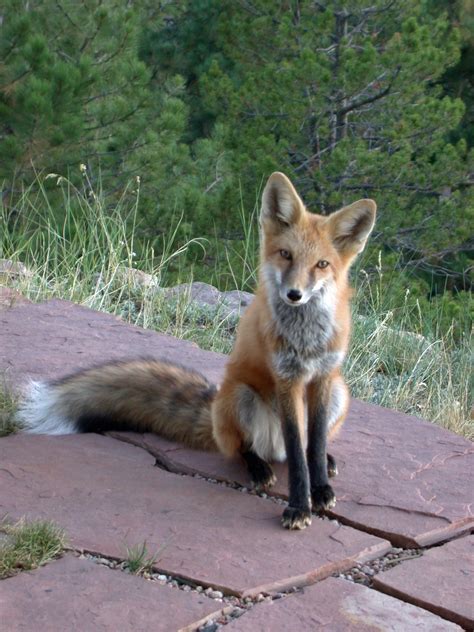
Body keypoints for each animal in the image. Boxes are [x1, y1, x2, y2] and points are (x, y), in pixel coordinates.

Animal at [18, 172, 376, 528]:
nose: (294, 294)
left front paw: (321, 489)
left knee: (301, 446)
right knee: (251, 448)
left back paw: (322, 460)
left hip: (340, 392)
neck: (306, 339)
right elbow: (299, 459)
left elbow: (312, 446)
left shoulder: (324, 376)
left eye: (322, 264)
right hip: (242, 397)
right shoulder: (287, 378)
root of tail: (215, 413)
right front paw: (299, 506)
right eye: (286, 254)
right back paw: (259, 467)